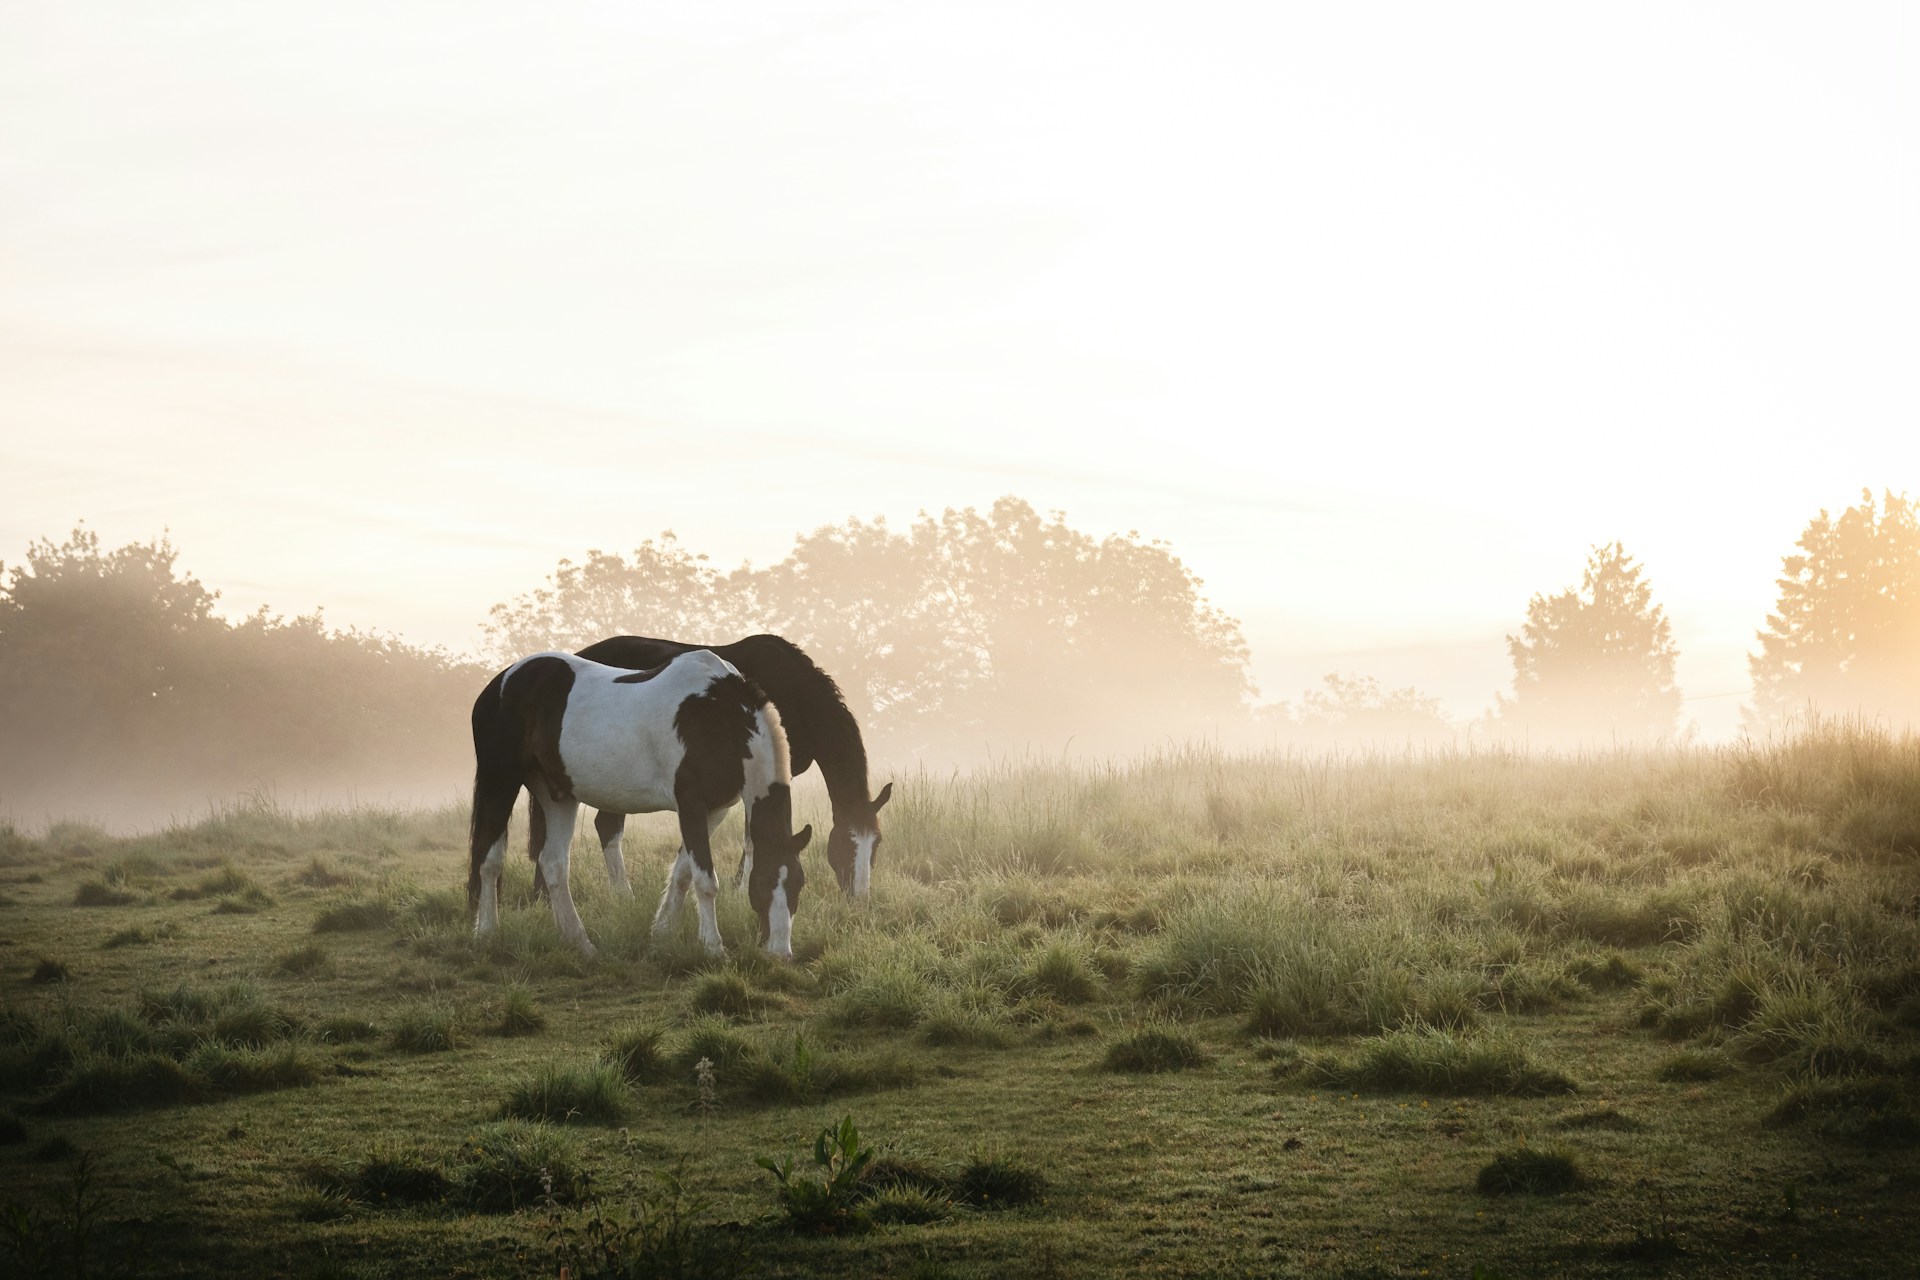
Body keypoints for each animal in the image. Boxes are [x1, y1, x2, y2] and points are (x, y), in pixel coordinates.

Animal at [468, 648, 812, 959]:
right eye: (763, 882)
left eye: (798, 884)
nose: (781, 953)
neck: (715, 714)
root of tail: (501, 682)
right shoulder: (691, 806)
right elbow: (704, 880)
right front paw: (714, 948)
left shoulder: (715, 810)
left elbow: (682, 872)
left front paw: (662, 933)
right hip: (500, 781)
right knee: (489, 859)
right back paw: (487, 933)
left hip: (557, 795)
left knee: (553, 863)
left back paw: (580, 943)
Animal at [524, 634, 891, 899]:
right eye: (847, 844)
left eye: (877, 844)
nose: (859, 899)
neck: (796, 695)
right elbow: (751, 837)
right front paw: (742, 890)